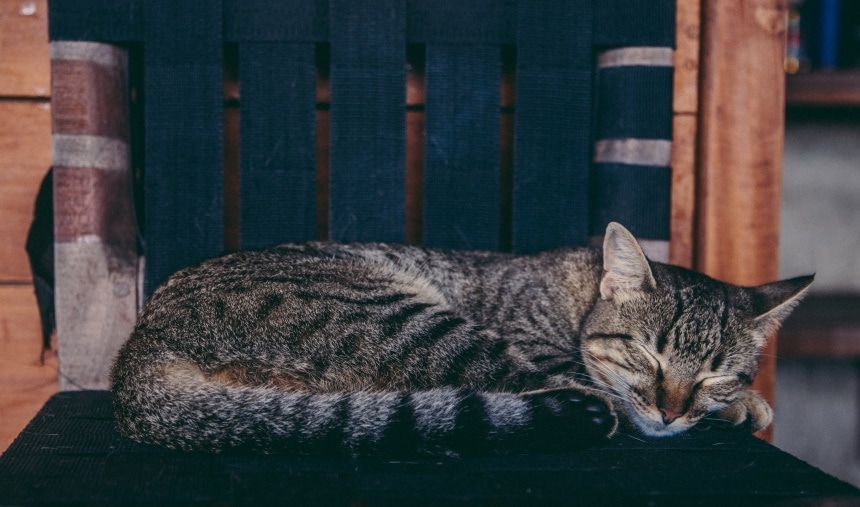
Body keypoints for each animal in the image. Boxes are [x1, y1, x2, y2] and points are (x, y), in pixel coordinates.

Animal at [111, 222, 808, 456]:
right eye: (645, 353)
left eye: (715, 373)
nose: (670, 412)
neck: (579, 295)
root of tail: (138, 348)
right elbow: (606, 390)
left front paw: (739, 403)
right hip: (401, 315)